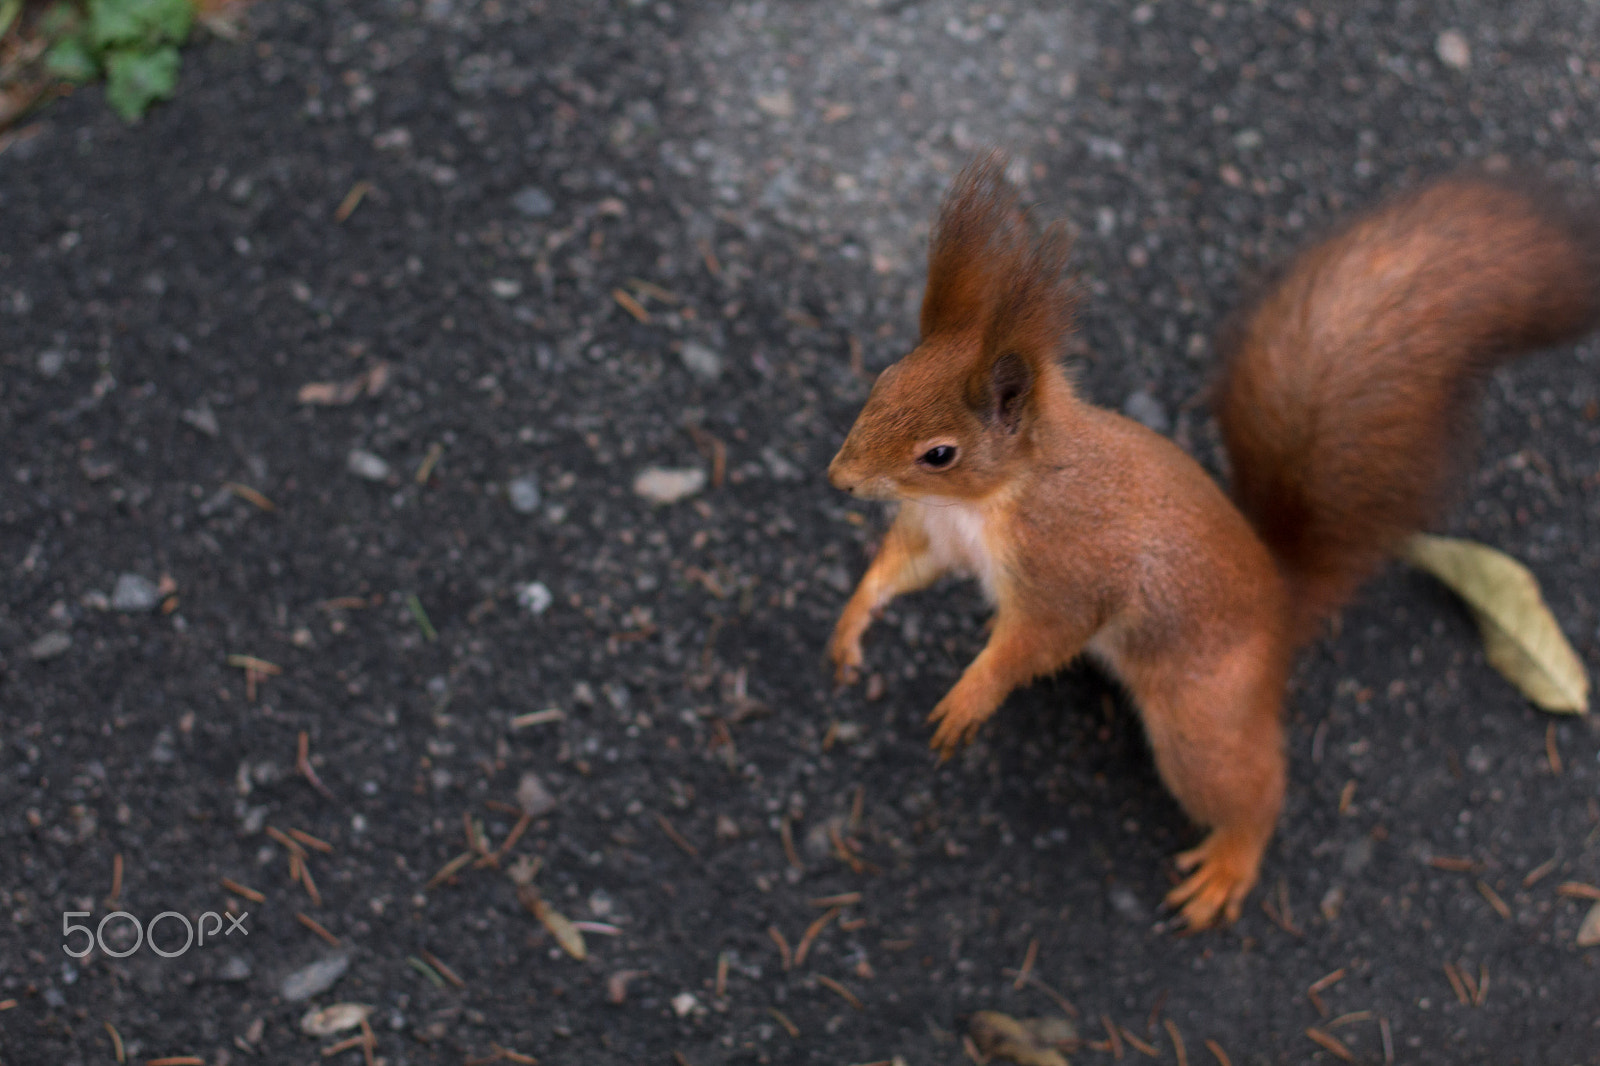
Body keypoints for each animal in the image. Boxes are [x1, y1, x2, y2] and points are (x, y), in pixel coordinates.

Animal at [832, 153, 1593, 928]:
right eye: (883, 382)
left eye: (939, 454)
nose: (840, 480)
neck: (991, 500)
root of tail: (1282, 605)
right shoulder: (943, 537)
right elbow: (900, 571)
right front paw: (851, 625)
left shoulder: (1068, 569)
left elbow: (1036, 642)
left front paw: (970, 695)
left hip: (1201, 716)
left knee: (1253, 788)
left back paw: (1231, 862)